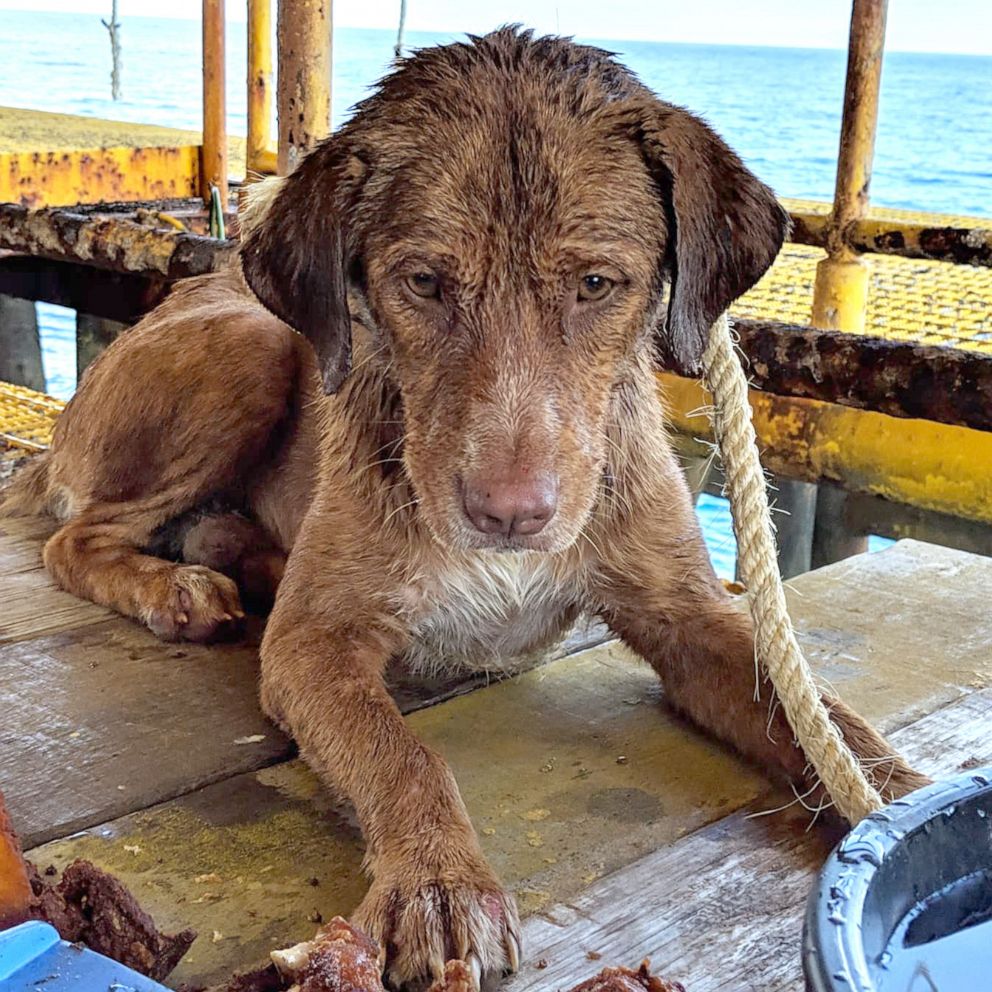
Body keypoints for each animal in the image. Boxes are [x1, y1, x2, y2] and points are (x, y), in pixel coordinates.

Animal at [3, 27, 928, 988]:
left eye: (597, 284)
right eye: (424, 283)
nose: (509, 515)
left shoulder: (691, 614)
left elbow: (823, 720)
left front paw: (904, 804)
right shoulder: (312, 642)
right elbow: (403, 752)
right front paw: (438, 882)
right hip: (249, 345)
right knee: (74, 538)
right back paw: (173, 590)